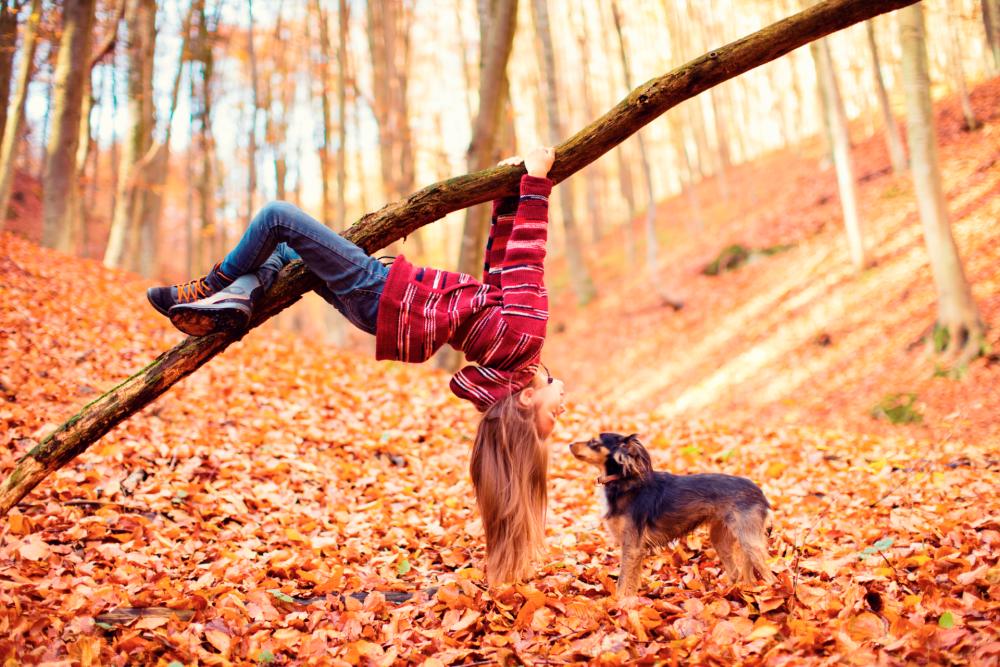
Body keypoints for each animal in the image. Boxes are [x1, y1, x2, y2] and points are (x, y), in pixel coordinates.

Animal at [572, 434, 772, 600]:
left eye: (594, 442)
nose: (570, 444)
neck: (623, 481)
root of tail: (759, 491)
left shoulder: (632, 546)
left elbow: (623, 581)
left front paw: (617, 604)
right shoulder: (634, 549)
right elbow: (632, 580)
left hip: (750, 542)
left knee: (769, 575)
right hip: (720, 538)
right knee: (736, 573)